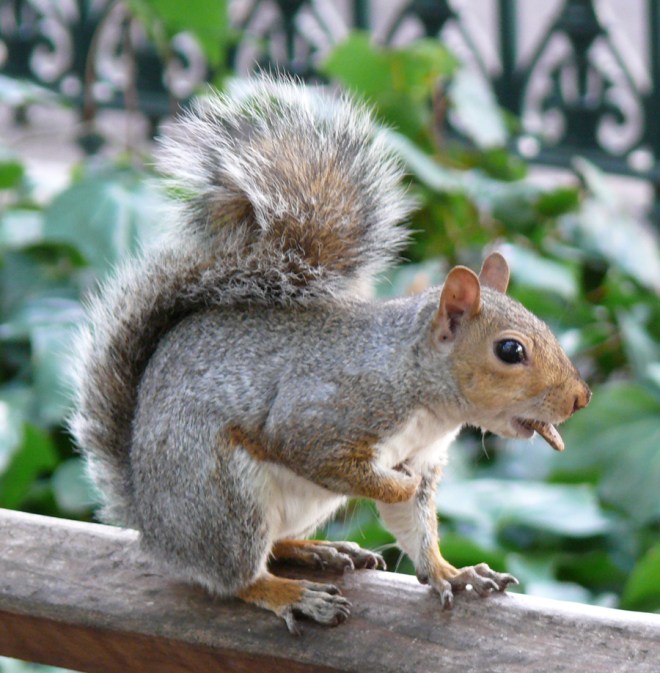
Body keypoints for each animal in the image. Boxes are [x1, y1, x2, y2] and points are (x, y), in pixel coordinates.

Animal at [69, 76, 591, 635]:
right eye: (510, 350)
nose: (581, 398)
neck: (421, 392)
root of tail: (151, 523)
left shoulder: (424, 455)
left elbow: (417, 530)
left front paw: (452, 572)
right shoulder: (327, 414)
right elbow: (326, 458)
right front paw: (398, 487)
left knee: (275, 544)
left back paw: (318, 550)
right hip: (222, 498)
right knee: (237, 575)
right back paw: (292, 593)